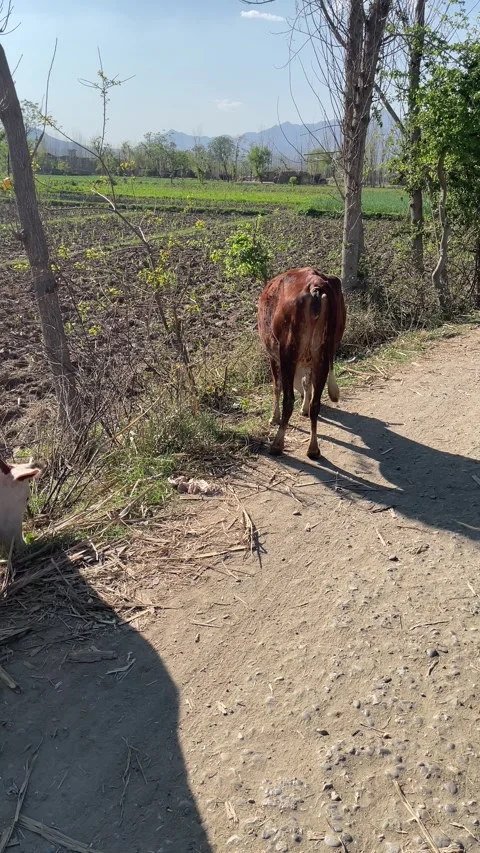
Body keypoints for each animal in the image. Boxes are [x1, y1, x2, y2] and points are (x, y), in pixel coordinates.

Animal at [258, 267, 346, 458]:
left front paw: (273, 417)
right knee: (316, 403)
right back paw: (313, 448)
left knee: (288, 400)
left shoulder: (273, 355)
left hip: (288, 354)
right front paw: (304, 406)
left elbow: (277, 387)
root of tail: (316, 285)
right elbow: (307, 384)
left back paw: (277, 444)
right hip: (322, 355)